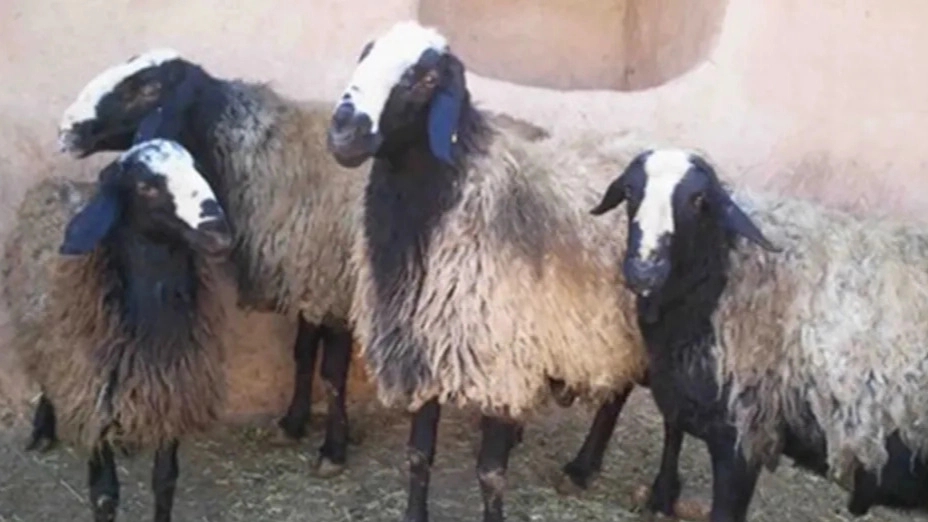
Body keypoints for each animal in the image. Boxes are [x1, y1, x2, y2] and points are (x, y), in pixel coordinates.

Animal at [4, 138, 233, 522]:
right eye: (145, 186)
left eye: (197, 168)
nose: (218, 233)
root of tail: (58, 182)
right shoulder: (94, 399)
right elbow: (105, 495)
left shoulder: (172, 392)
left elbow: (165, 481)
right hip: (45, 337)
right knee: (47, 381)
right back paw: (43, 429)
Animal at [325, 20, 649, 522]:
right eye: (365, 55)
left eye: (426, 78)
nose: (345, 129)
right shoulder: (426, 349)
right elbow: (418, 456)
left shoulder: (502, 361)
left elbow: (491, 474)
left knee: (625, 392)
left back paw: (584, 469)